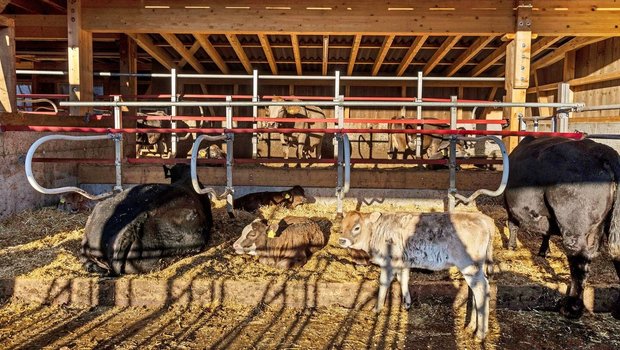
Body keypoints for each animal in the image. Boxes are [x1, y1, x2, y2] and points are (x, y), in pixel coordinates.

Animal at [340, 211, 494, 340]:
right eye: (342, 226)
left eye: (357, 228)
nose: (342, 240)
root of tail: (482, 218)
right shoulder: (403, 262)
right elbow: (403, 279)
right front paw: (407, 303)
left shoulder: (388, 262)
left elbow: (383, 283)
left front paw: (376, 309)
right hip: (477, 267)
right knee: (475, 291)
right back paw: (471, 326)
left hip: (469, 265)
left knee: (481, 289)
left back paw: (480, 334)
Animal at [504, 135, 620, 318]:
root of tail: (604, 152)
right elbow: (546, 233)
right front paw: (544, 251)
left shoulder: (510, 206)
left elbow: (513, 225)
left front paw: (511, 246)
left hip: (574, 227)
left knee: (579, 263)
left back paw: (571, 307)